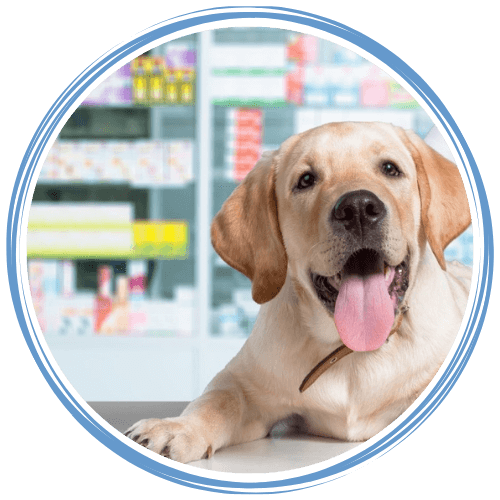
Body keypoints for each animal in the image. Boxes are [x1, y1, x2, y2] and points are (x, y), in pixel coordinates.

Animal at [125, 122, 472, 464]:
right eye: (306, 180)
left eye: (390, 169)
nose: (358, 208)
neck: (351, 351)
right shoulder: (245, 381)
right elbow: (217, 399)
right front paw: (175, 427)